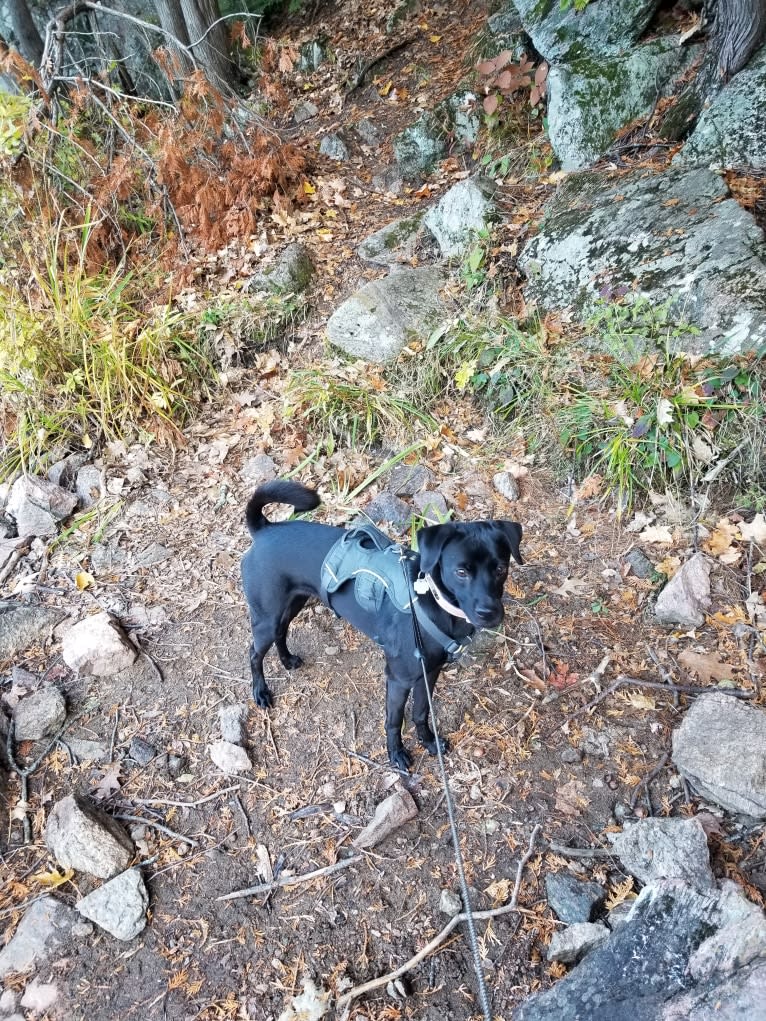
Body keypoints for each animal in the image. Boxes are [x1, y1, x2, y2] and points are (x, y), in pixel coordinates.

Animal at [243, 481, 527, 767]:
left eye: (501, 569)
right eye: (461, 572)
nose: (489, 613)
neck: (433, 603)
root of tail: (264, 529)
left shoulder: (429, 672)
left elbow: (421, 711)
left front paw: (428, 741)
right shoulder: (398, 679)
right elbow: (394, 720)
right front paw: (396, 754)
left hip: (292, 603)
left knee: (281, 632)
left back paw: (287, 660)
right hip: (267, 616)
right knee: (255, 652)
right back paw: (260, 691)